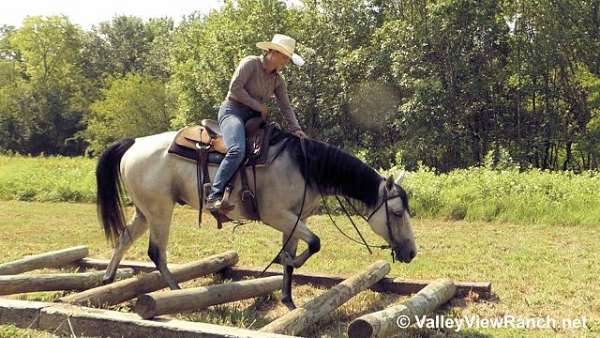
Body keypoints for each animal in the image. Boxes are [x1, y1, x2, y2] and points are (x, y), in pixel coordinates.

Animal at [97, 129, 418, 308]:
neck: (303, 166)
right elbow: (314, 243)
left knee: (124, 239)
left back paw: (107, 280)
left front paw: (288, 299)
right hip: (160, 210)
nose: (412, 253)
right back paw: (176, 293)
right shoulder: (276, 216)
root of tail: (135, 143)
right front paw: (282, 260)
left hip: (144, 211)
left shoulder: (293, 219)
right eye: (397, 213)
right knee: (156, 252)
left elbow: (295, 256)